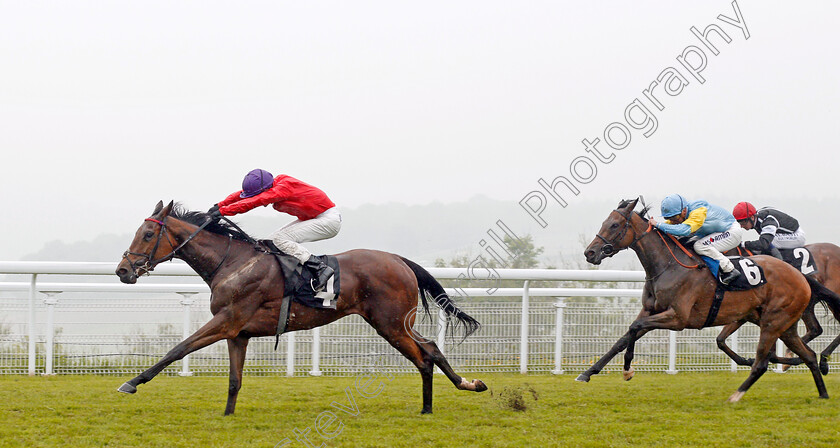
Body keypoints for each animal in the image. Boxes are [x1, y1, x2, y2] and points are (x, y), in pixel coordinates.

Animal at [115, 201, 488, 414]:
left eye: (147, 234)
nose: (122, 271)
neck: (232, 262)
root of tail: (398, 259)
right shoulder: (239, 333)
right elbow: (235, 380)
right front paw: (227, 416)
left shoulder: (227, 320)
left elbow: (177, 349)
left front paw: (132, 382)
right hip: (396, 322)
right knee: (431, 348)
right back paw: (453, 393)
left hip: (390, 323)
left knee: (424, 356)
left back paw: (437, 402)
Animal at [576, 198, 828, 400]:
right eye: (604, 222)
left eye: (614, 225)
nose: (590, 253)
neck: (669, 266)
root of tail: (800, 276)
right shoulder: (651, 311)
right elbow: (624, 337)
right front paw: (588, 373)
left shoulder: (677, 318)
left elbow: (634, 327)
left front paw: (627, 369)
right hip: (783, 325)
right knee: (808, 355)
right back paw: (822, 392)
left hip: (773, 322)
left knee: (764, 361)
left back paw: (738, 393)